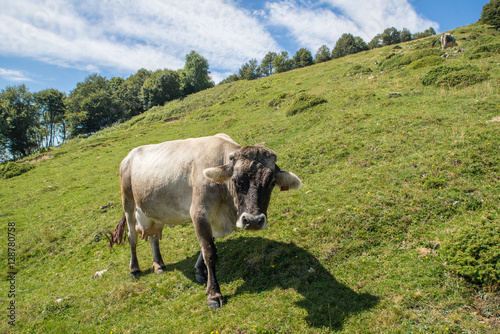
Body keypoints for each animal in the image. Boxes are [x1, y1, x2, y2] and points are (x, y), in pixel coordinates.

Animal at [109, 132, 300, 308]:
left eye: (271, 183)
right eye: (236, 181)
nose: (253, 220)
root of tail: (128, 156)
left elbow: (205, 247)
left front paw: (200, 273)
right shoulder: (199, 213)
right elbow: (210, 252)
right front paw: (214, 294)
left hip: (154, 211)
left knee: (153, 237)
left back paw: (159, 265)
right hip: (128, 202)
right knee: (132, 237)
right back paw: (134, 269)